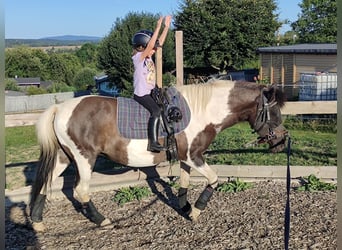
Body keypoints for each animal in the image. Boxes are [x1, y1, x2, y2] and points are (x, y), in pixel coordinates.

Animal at [29, 79, 288, 231]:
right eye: (274, 111)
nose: (281, 142)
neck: (201, 110)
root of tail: (59, 108)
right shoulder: (193, 156)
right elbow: (214, 179)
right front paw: (196, 211)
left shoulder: (185, 158)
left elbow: (184, 183)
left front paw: (185, 208)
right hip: (84, 158)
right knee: (81, 190)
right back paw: (102, 220)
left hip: (64, 157)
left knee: (44, 184)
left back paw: (37, 222)